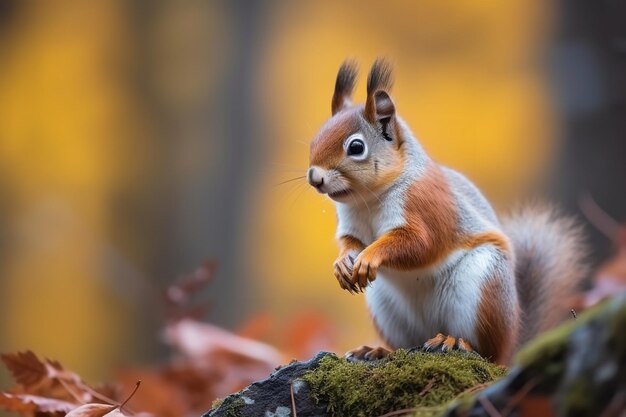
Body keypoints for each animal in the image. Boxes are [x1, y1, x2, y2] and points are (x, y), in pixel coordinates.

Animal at [304, 58, 588, 364]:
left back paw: (454, 342)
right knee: (406, 343)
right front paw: (342, 263)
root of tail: (511, 346)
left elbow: (419, 244)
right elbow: (350, 241)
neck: (368, 200)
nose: (314, 177)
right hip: (386, 308)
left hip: (482, 284)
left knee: (485, 350)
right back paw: (378, 351)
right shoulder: (350, 222)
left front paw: (369, 256)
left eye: (356, 147)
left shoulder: (427, 206)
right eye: (315, 140)